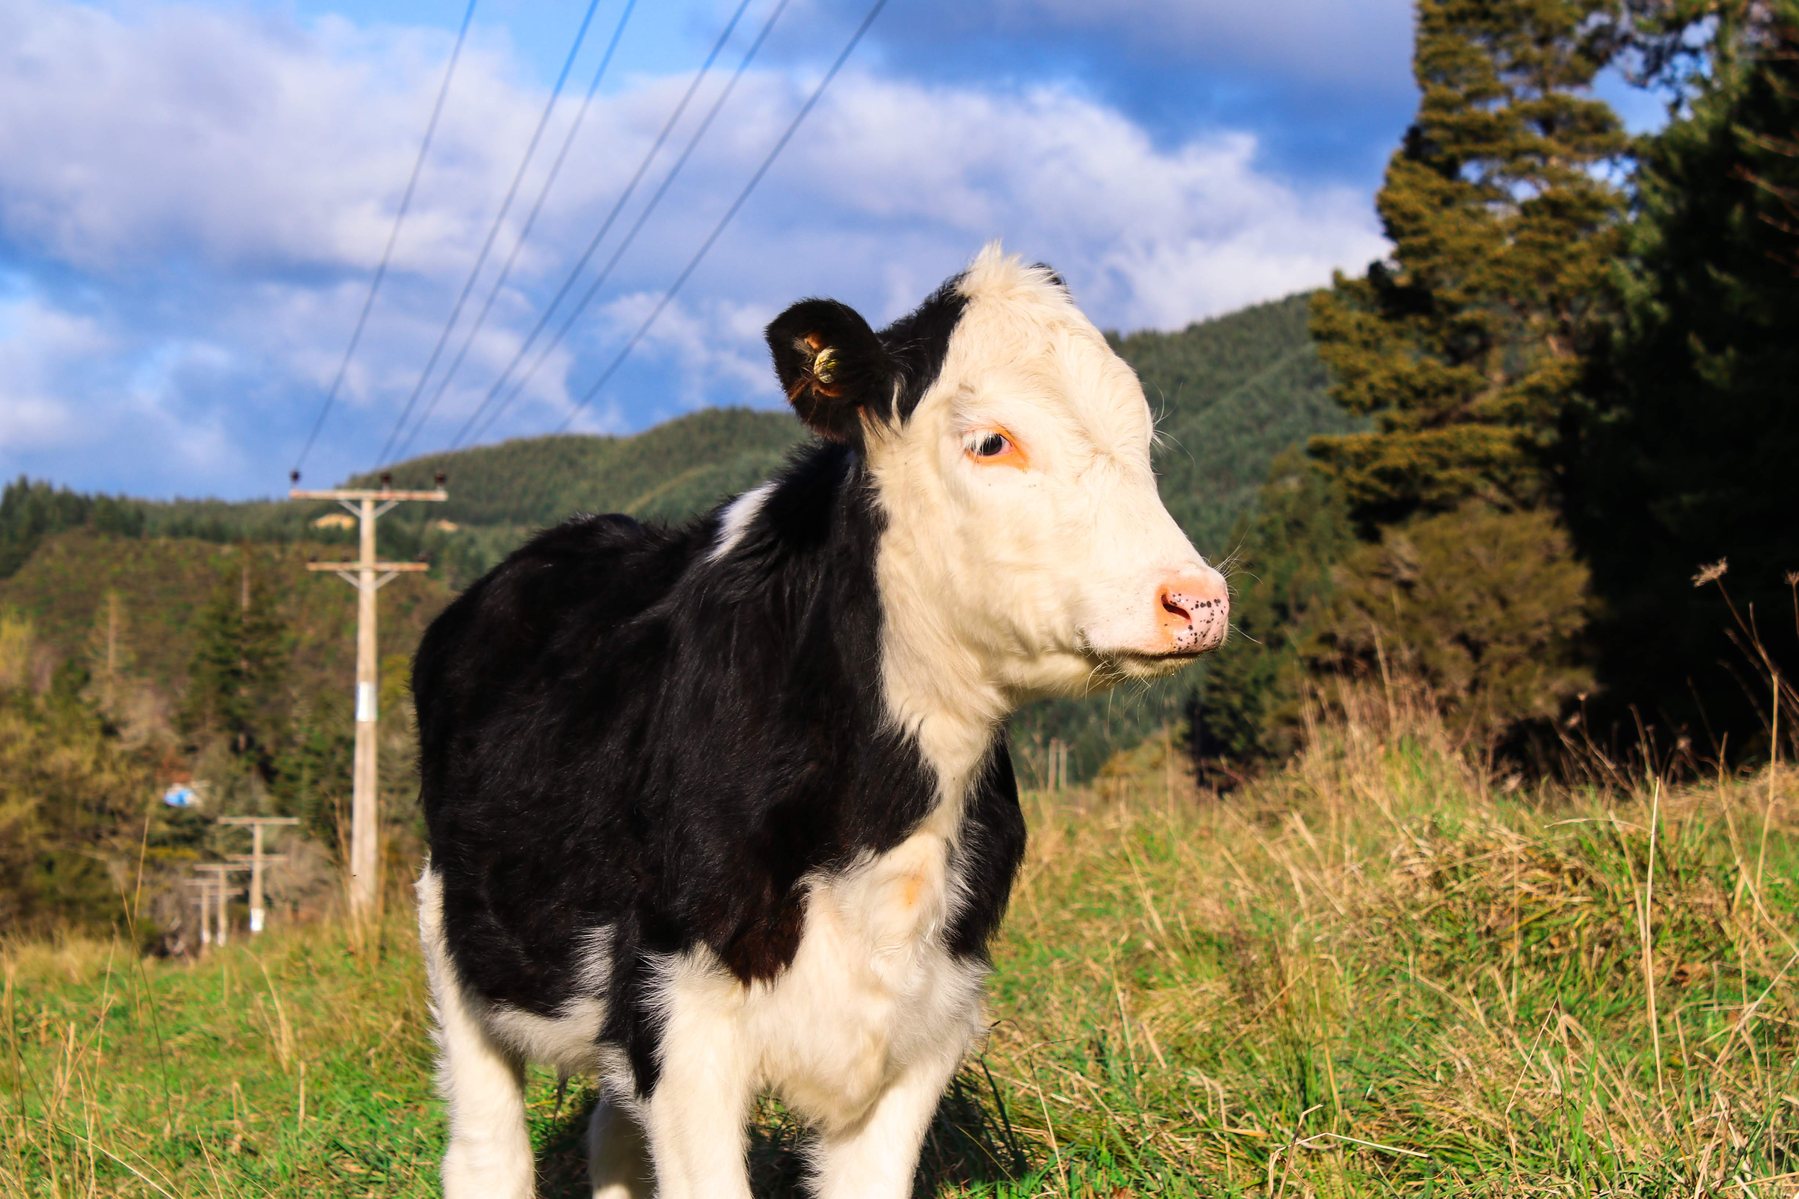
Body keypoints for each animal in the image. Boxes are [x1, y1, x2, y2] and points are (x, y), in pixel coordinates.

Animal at [412, 244, 1229, 1199]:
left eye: (1143, 437)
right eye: (990, 440)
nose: (1197, 600)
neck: (881, 823)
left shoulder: (926, 1020)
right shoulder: (679, 1018)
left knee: (612, 1139)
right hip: (454, 932)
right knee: (486, 1146)